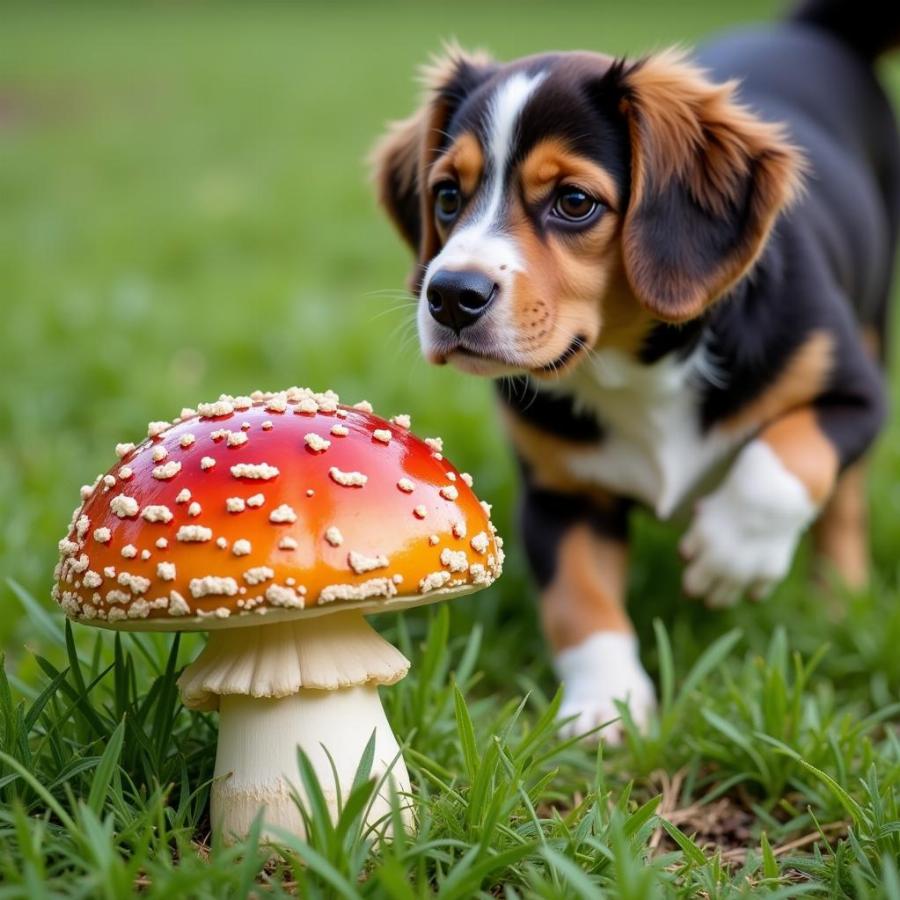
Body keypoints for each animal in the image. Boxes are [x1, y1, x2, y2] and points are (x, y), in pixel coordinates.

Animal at [370, 1, 900, 740]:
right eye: (447, 196)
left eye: (574, 202)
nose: (449, 295)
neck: (634, 367)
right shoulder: (562, 490)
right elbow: (579, 598)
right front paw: (605, 708)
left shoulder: (855, 393)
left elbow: (783, 461)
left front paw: (733, 553)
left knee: (842, 500)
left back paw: (839, 601)